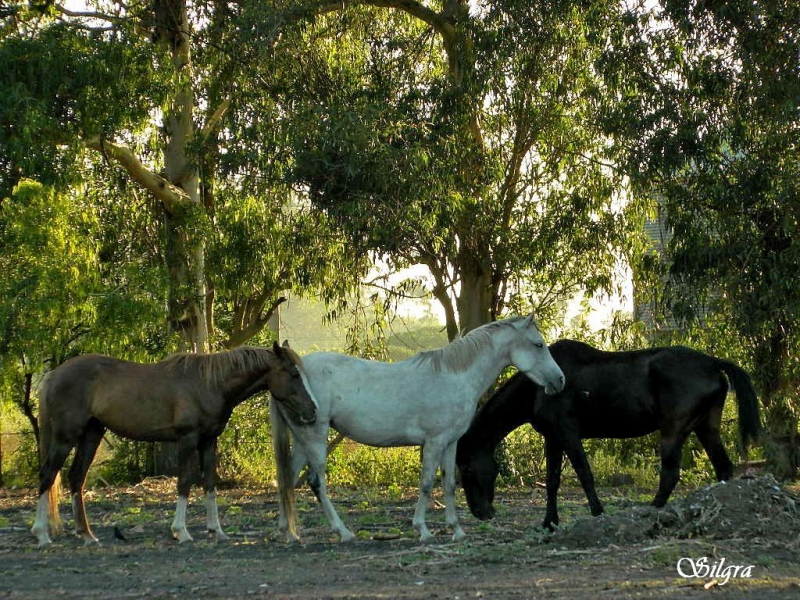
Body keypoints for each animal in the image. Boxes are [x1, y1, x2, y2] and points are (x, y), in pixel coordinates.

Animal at [31, 340, 318, 548]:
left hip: (91, 435)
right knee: (48, 475)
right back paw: (42, 534)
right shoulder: (187, 439)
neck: (208, 384)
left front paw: (217, 531)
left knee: (76, 477)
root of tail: (53, 375)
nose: (312, 411)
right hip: (65, 437)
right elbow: (185, 482)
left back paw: (87, 535)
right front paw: (181, 532)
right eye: (294, 373)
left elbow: (210, 483)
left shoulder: (208, 441)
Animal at [272, 314, 564, 544]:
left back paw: (289, 533)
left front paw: (456, 530)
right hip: (316, 437)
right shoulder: (434, 442)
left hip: (303, 439)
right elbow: (426, 484)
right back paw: (342, 532)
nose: (560, 380)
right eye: (538, 344)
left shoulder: (450, 442)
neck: (455, 376)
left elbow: (448, 484)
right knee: (316, 482)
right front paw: (422, 530)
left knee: (288, 478)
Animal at [460, 340, 760, 532]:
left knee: (670, 474)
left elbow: (584, 474)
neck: (541, 386)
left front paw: (597, 512)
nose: (481, 513)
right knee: (722, 467)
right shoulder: (553, 439)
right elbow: (552, 481)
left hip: (673, 430)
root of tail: (712, 363)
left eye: (467, 469)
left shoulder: (568, 434)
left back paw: (651, 511)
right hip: (706, 428)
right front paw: (549, 522)